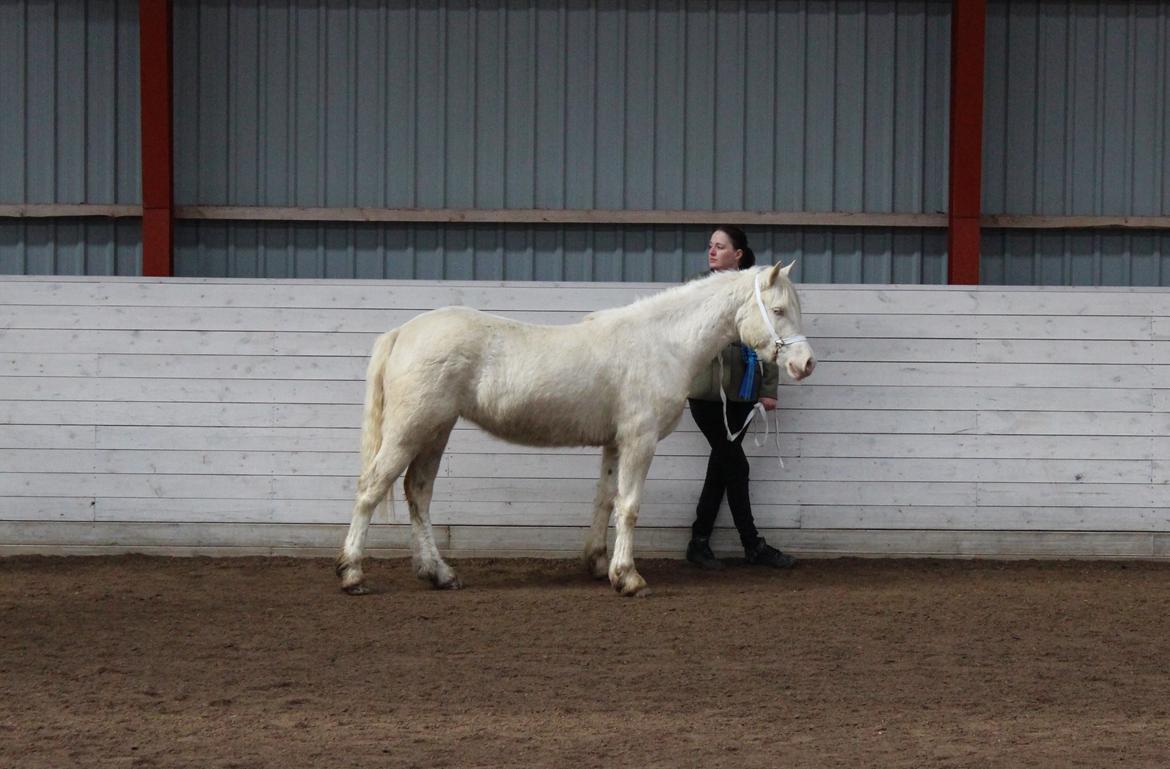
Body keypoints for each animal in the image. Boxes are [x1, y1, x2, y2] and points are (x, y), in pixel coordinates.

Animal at [334, 261, 819, 596]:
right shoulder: (639, 441)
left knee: (418, 493)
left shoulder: (615, 443)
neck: (662, 343)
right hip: (411, 429)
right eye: (777, 309)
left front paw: (599, 564)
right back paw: (353, 574)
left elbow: (606, 499)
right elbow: (630, 506)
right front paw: (629, 578)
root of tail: (403, 331)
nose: (805, 363)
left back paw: (439, 573)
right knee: (371, 488)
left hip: (436, 431)